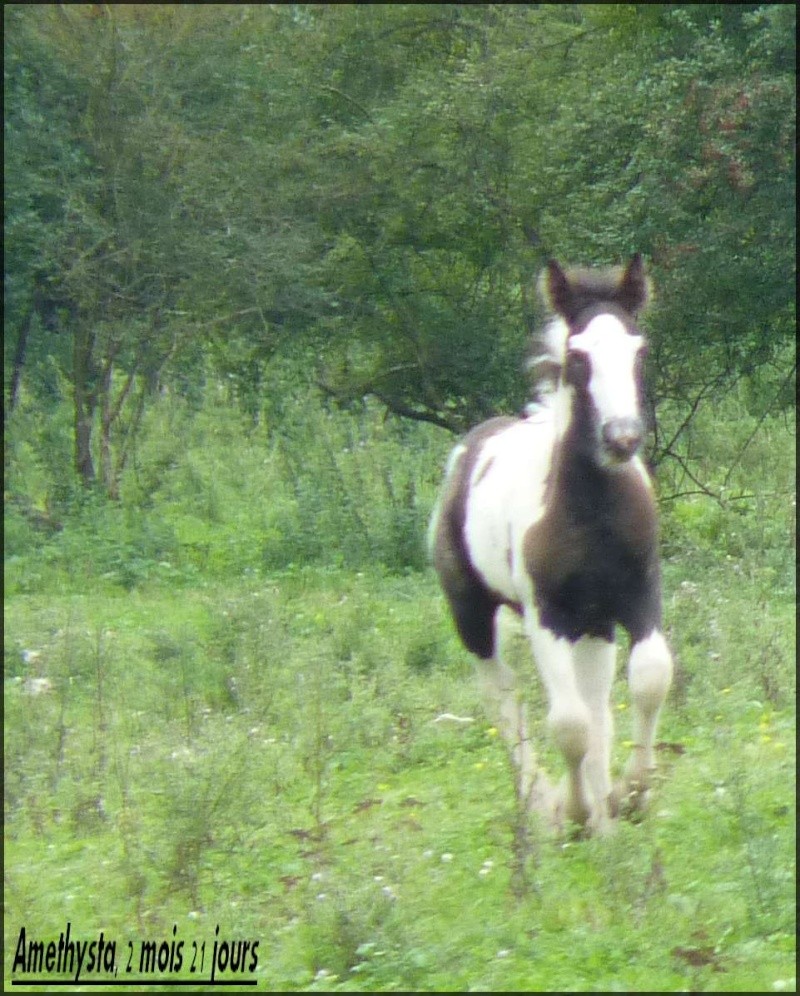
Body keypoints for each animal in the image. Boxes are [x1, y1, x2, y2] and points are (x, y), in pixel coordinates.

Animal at [428, 256, 672, 832]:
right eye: (577, 356)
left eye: (639, 350)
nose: (622, 438)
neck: (594, 513)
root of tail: (467, 451)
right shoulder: (547, 613)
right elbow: (568, 723)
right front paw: (576, 811)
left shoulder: (637, 592)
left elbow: (649, 677)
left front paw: (627, 795)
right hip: (474, 614)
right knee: (502, 696)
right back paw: (541, 802)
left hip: (594, 622)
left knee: (596, 695)